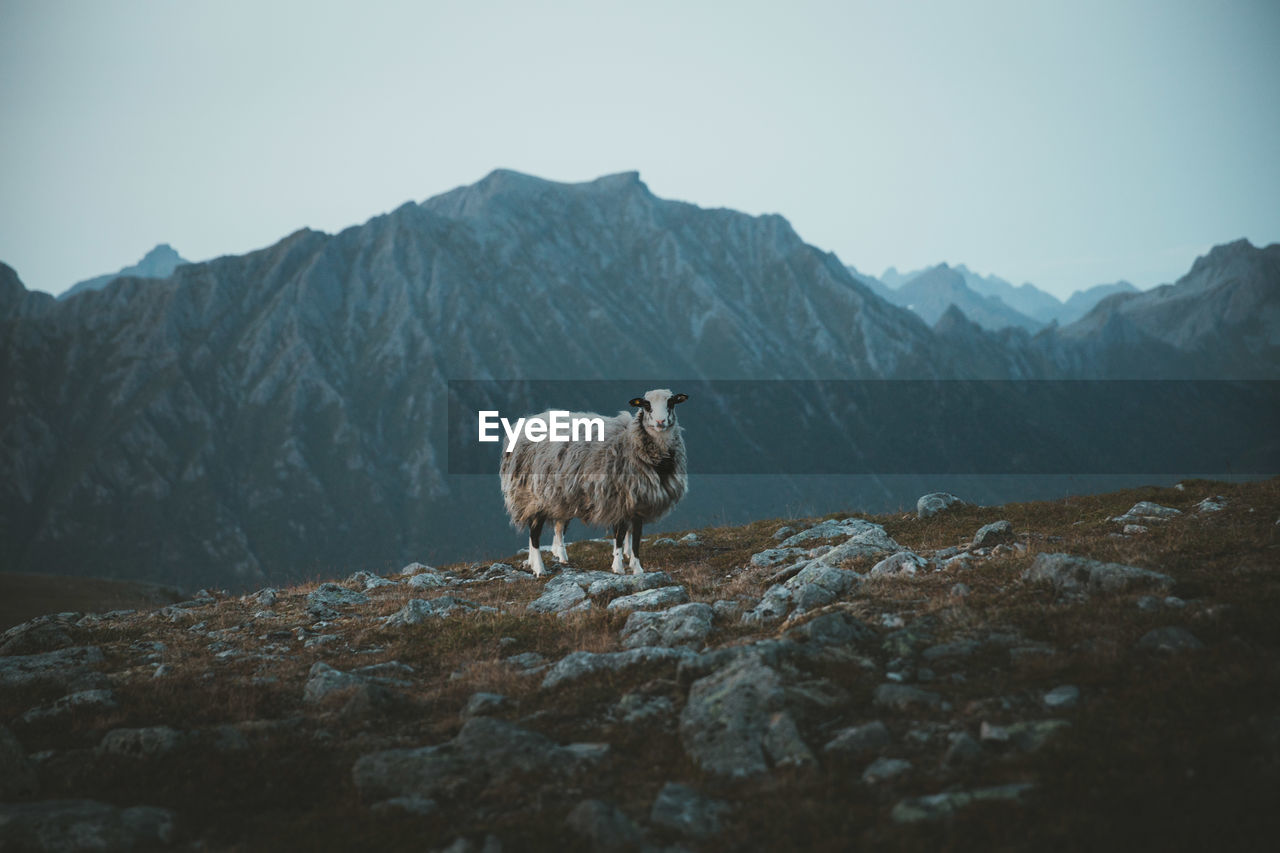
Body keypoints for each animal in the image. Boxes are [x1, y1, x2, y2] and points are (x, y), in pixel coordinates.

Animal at [499, 389, 691, 573]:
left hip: (559, 498)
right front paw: (618, 567)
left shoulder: (638, 502)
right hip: (535, 495)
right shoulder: (619, 498)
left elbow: (634, 535)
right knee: (534, 533)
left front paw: (636, 567)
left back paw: (551, 559)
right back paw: (539, 568)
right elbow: (620, 535)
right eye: (646, 405)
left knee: (554, 527)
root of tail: (525, 422)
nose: (660, 422)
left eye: (671, 403)